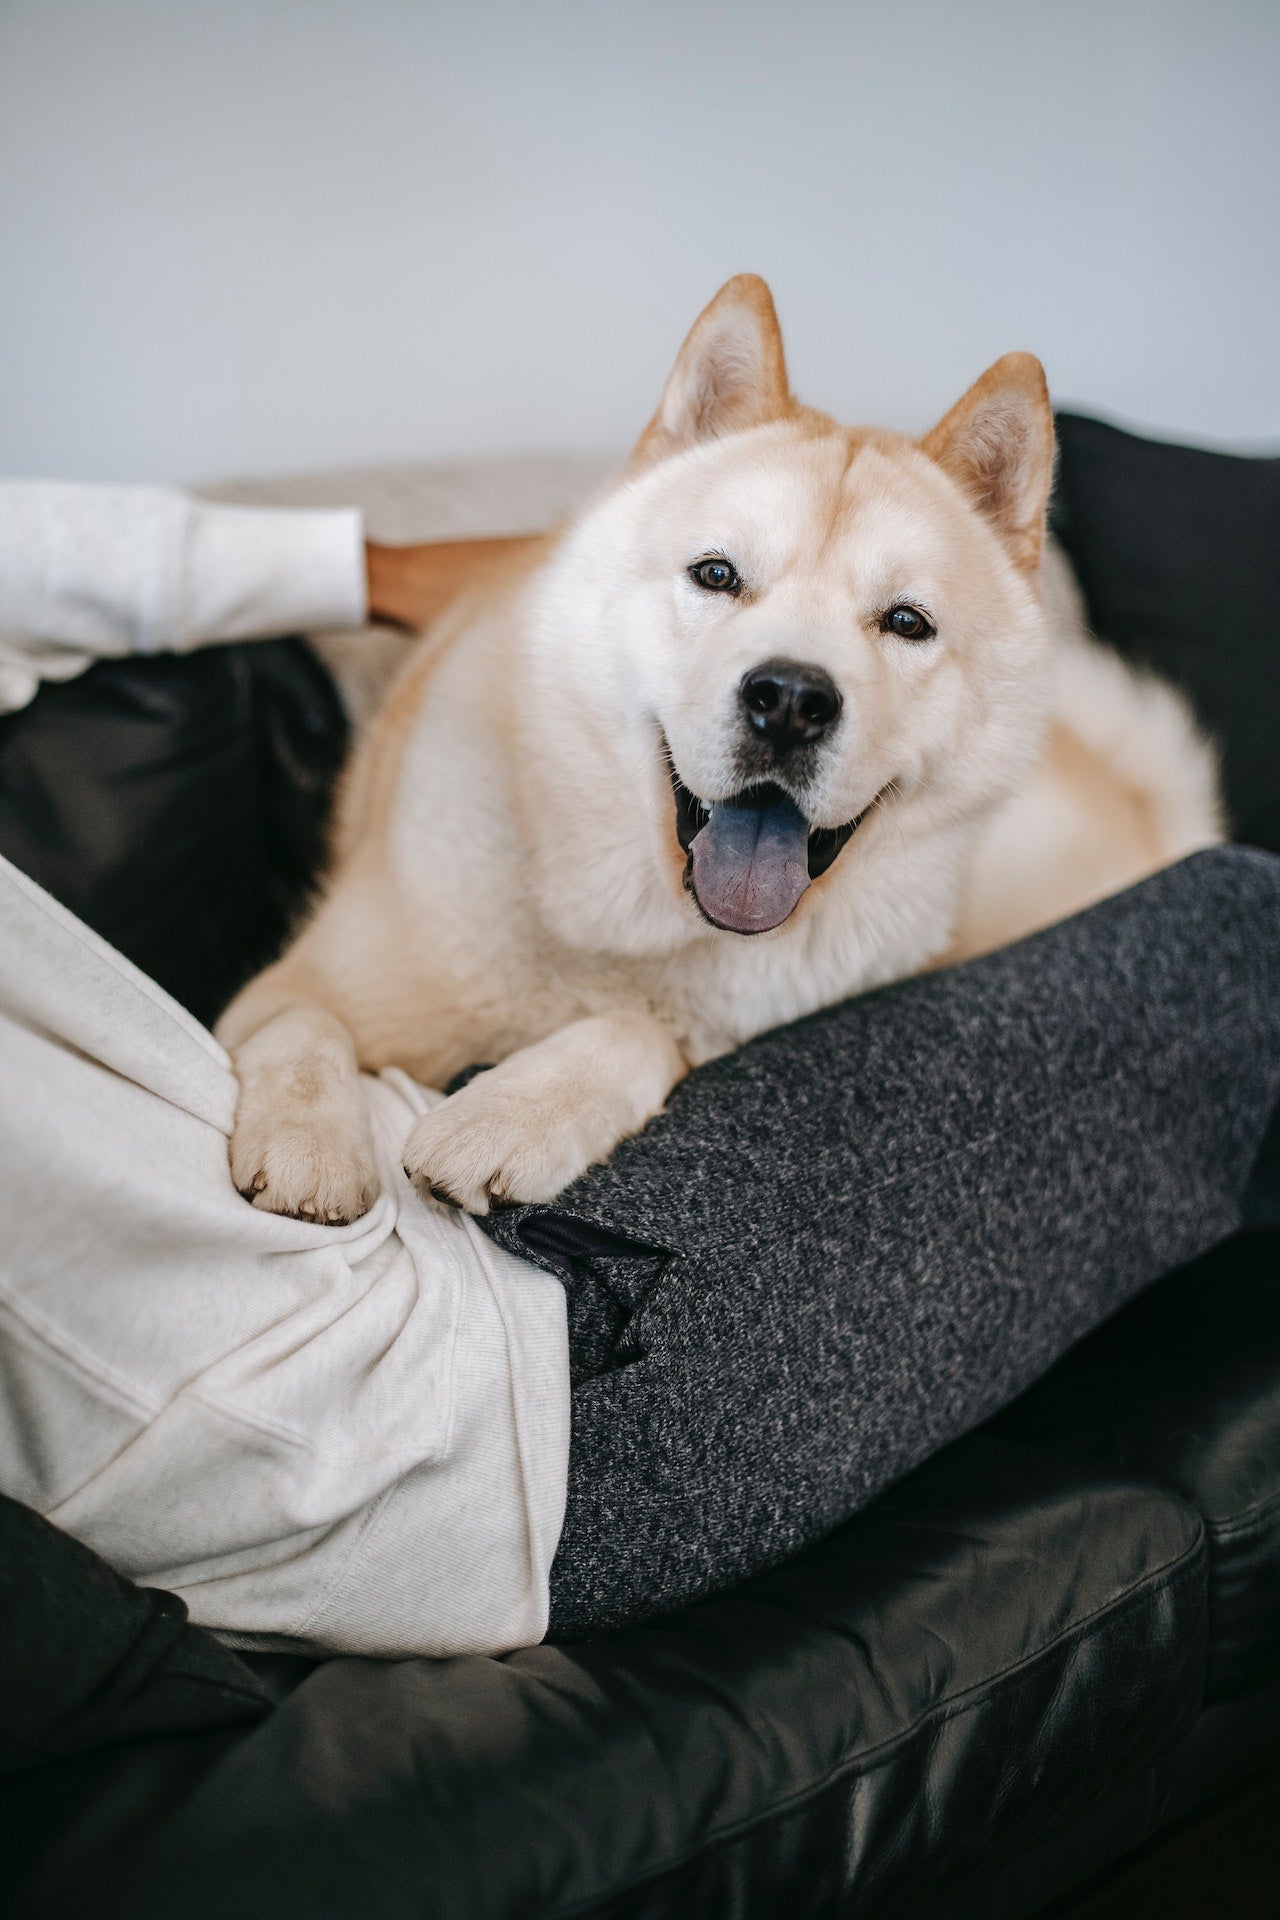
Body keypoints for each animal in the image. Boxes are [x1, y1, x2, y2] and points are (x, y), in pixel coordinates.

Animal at [217, 274, 1220, 1213]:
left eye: (906, 622)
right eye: (717, 575)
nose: (792, 702)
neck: (631, 920)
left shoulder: (709, 1035)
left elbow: (639, 1033)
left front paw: (510, 1114)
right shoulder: (289, 988)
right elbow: (303, 1031)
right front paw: (309, 1144)